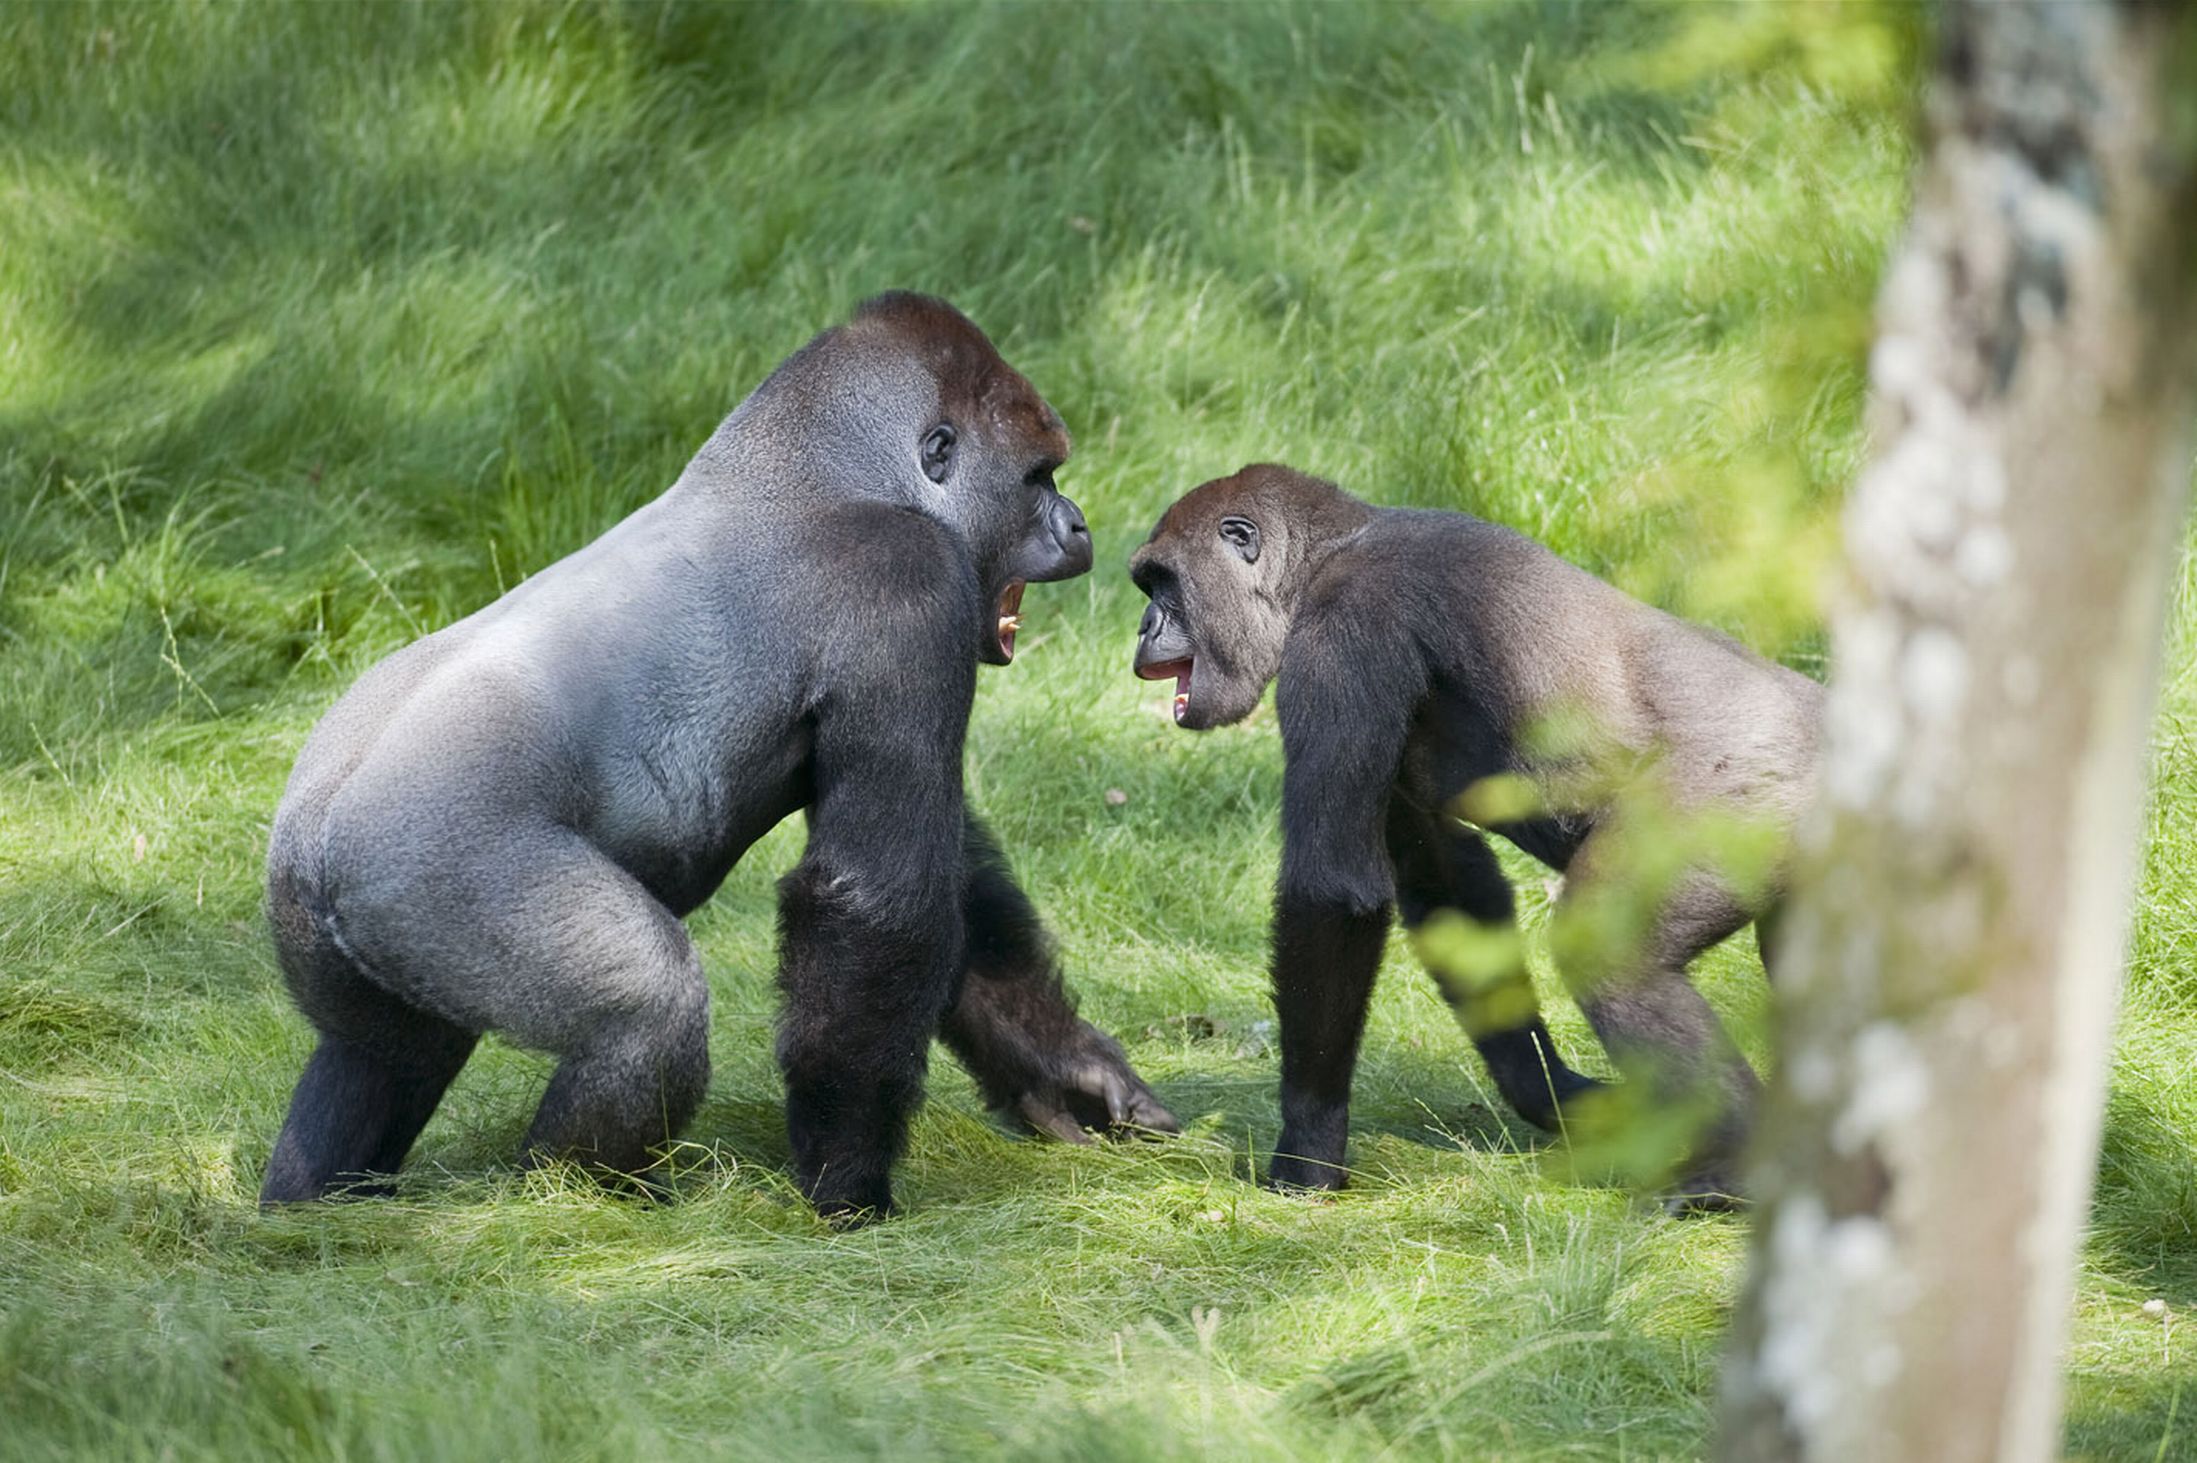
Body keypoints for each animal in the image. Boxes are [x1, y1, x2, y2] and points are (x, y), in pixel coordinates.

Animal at [265, 289, 1177, 1212]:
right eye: (1037, 478)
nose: (1078, 524)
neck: (820, 472)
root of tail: (310, 835)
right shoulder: (909, 580)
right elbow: (877, 897)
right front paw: (848, 1179)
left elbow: (951, 879)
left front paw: (1062, 1069)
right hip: (427, 863)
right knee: (648, 1009)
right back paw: (570, 1198)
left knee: (383, 1053)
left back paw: (314, 1201)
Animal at [1133, 461, 1819, 1203]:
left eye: (1163, 583)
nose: (1142, 629)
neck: (1332, 550)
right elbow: (1446, 880)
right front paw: (1550, 1091)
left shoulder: (1346, 629)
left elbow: (1334, 889)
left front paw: (1308, 1147)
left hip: (1740, 801)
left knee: (1610, 954)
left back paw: (1736, 1169)